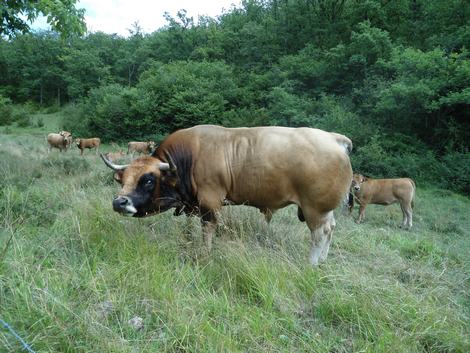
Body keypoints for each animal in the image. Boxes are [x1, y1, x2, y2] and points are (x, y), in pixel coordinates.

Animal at [102, 125, 352, 266]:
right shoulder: (193, 205)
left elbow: (207, 230)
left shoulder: (210, 203)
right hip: (324, 210)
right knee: (332, 228)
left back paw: (312, 263)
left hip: (315, 210)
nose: (119, 202)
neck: (188, 158)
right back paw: (323, 260)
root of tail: (334, 139)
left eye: (148, 180)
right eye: (122, 179)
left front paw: (205, 253)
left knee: (320, 233)